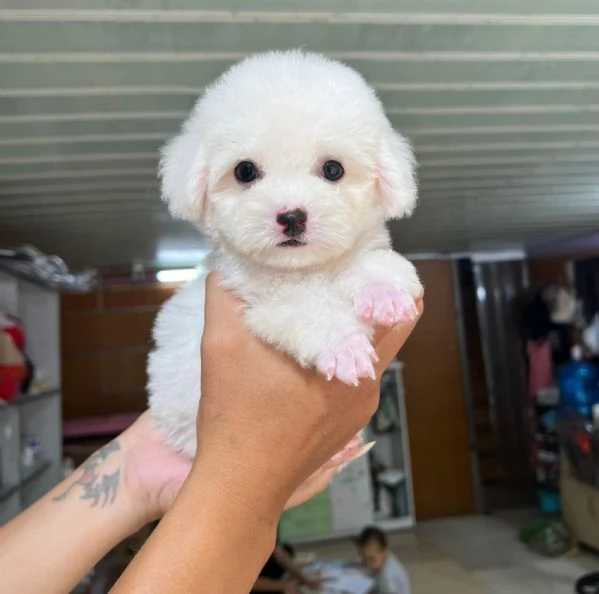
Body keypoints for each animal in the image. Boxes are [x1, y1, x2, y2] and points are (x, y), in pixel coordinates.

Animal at [148, 49, 424, 458]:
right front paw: (345, 346)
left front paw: (384, 292)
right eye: (245, 171)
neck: (307, 269)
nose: (292, 217)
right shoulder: (263, 294)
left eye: (333, 169)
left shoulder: (362, 250)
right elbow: (305, 305)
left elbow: (376, 262)